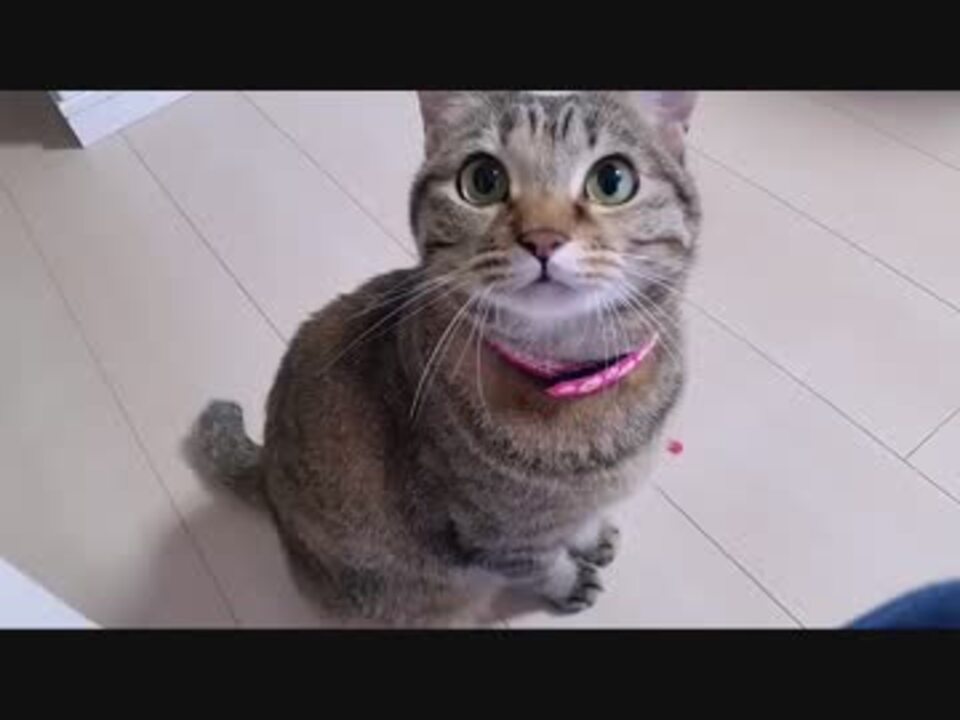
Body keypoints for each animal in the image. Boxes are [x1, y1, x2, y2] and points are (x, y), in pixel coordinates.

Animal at [195, 91, 701, 627]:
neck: (580, 378)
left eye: (612, 180)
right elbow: (541, 565)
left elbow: (579, 521)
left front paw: (589, 535)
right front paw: (569, 580)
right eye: (483, 180)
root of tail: (268, 472)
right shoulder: (498, 537)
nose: (543, 237)